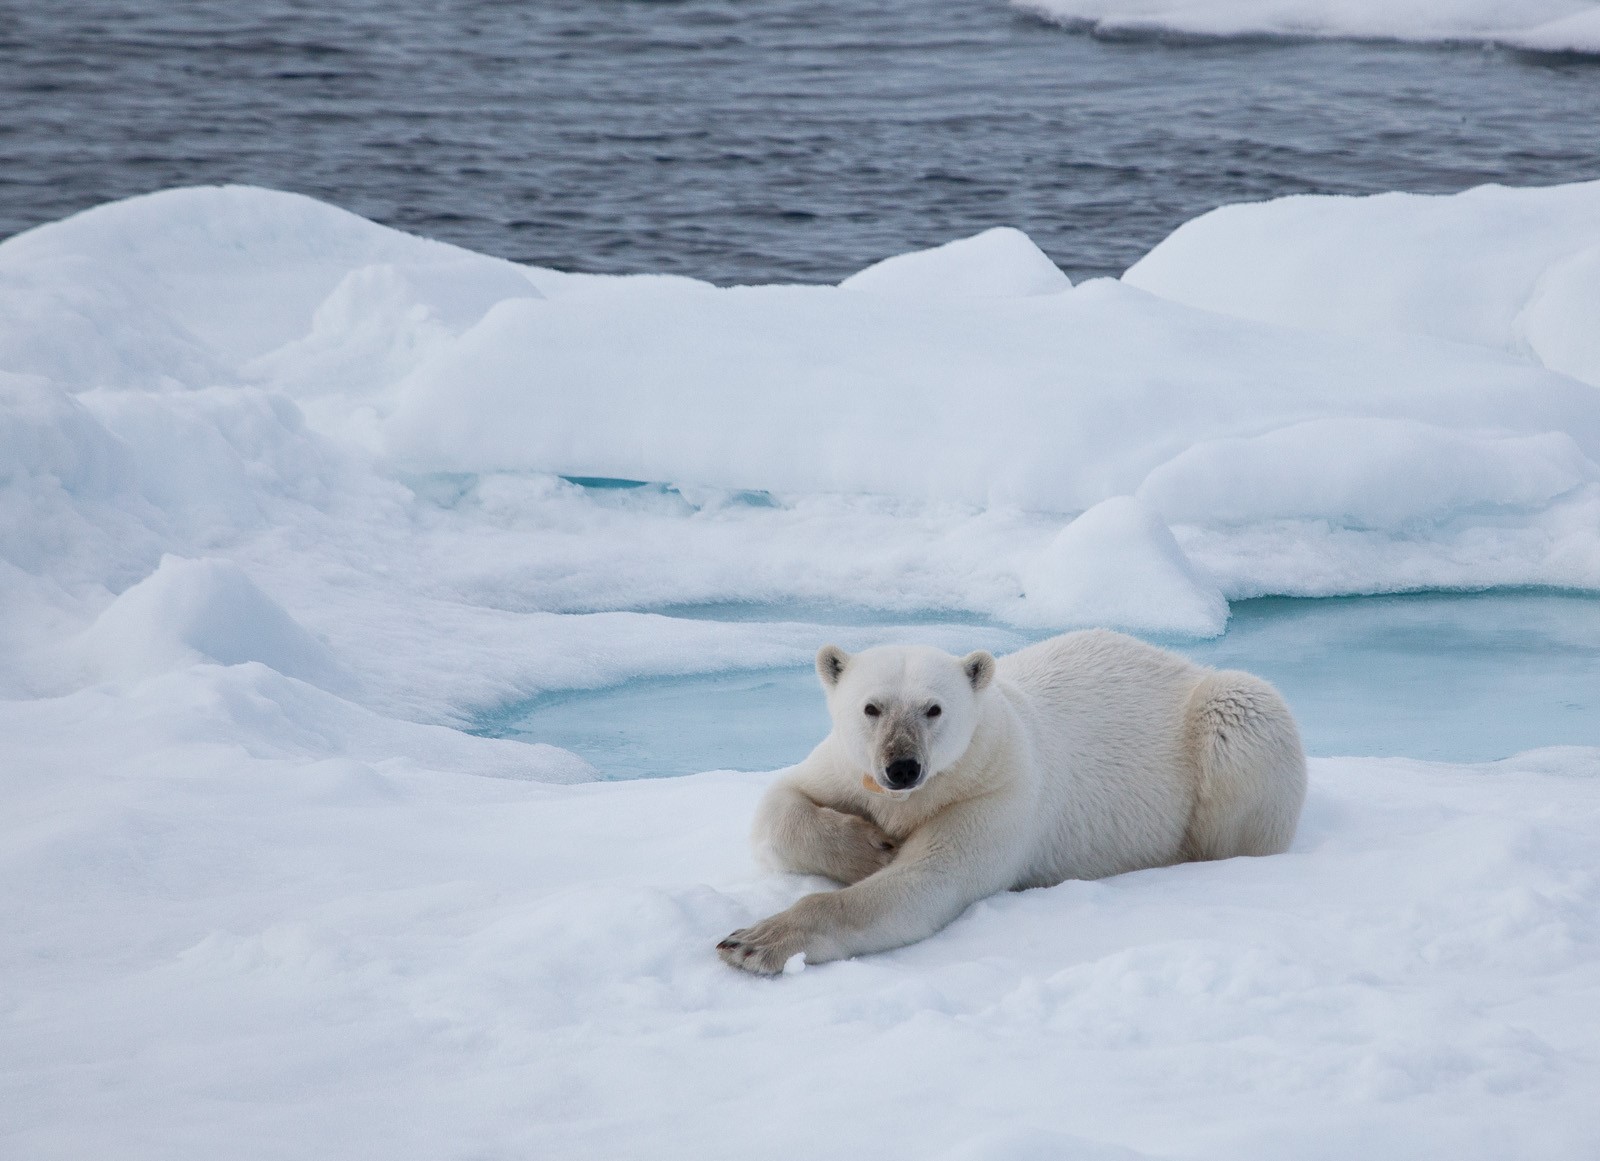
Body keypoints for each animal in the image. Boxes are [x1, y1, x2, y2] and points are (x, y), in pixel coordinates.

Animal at [720, 633, 1305, 978]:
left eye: (934, 709)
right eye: (871, 707)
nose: (902, 767)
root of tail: (1185, 661)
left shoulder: (996, 791)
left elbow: (928, 881)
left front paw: (752, 941)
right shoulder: (845, 769)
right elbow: (779, 804)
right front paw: (873, 846)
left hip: (1227, 718)